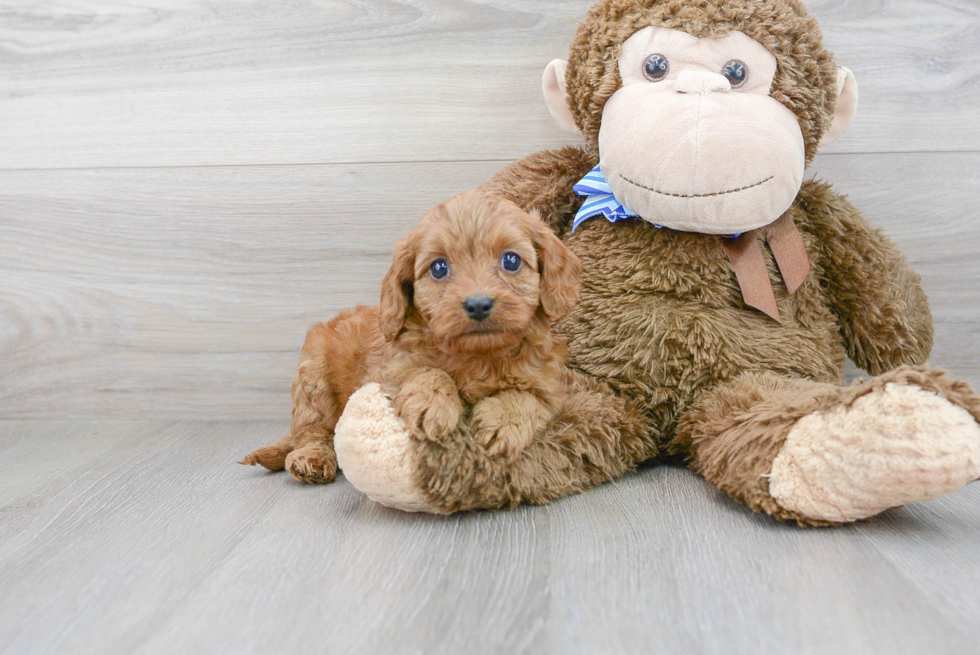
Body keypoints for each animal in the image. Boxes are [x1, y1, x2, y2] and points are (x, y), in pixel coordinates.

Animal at [242, 187, 580, 484]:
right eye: (439, 268)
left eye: (511, 260)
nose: (478, 304)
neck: (477, 356)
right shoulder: (387, 370)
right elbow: (425, 371)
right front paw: (433, 404)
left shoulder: (550, 387)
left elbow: (527, 397)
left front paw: (504, 421)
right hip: (314, 379)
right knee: (313, 430)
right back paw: (311, 458)